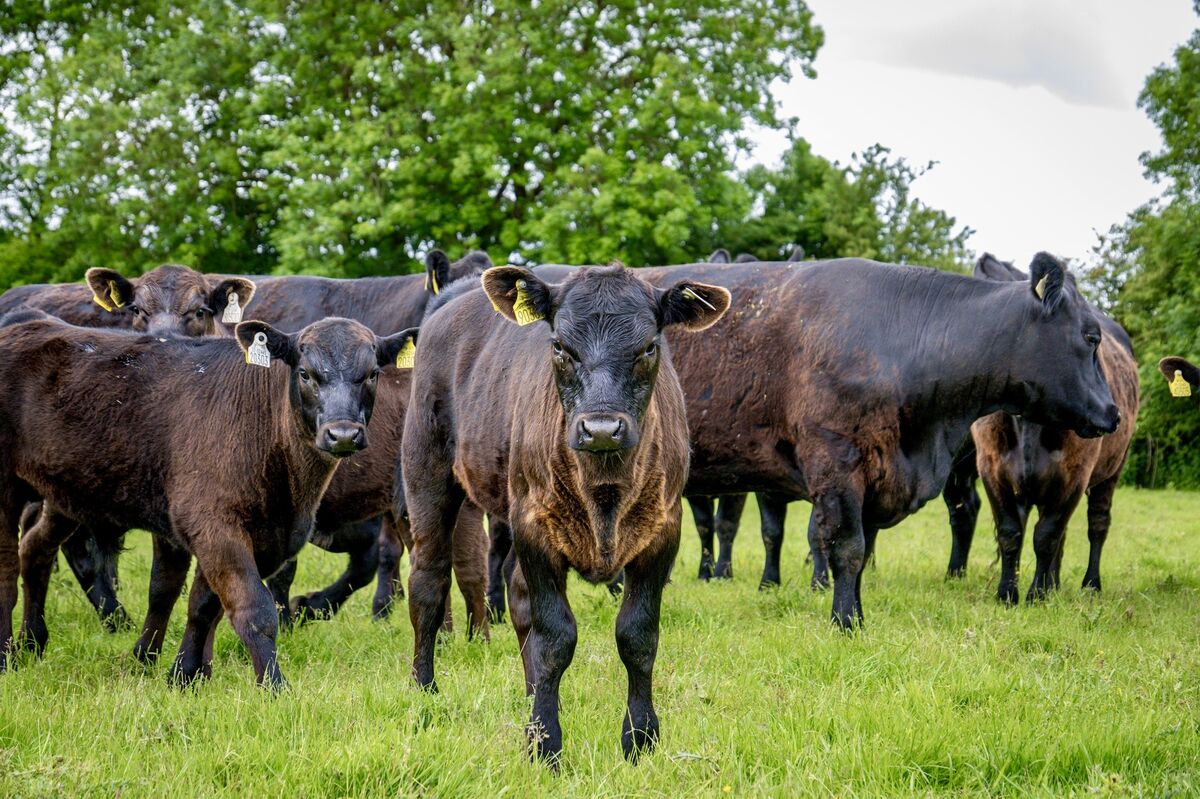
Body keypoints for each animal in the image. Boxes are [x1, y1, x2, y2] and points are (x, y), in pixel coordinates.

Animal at [0, 313, 415, 686]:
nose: (342, 434)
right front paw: (275, 688)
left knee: (35, 550)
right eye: (305, 373)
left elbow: (202, 603)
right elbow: (254, 609)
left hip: (64, 494)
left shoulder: (256, 534)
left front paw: (184, 675)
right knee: (7, 567)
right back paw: (7, 656)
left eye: (372, 374)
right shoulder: (214, 524)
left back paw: (32, 642)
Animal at [402, 264, 730, 763]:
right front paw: (544, 741)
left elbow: (638, 637)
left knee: (516, 597)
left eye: (649, 346)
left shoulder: (662, 533)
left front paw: (640, 737)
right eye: (559, 346)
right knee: (428, 584)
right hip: (428, 475)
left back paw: (529, 691)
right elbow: (555, 638)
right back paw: (424, 690)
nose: (602, 429)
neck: (604, 493)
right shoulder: (534, 528)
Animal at [929, 254, 1139, 602]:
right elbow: (1011, 533)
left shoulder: (1075, 475)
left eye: (1094, 339)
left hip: (1112, 469)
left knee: (1097, 523)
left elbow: (1047, 536)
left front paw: (1037, 595)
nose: (1112, 413)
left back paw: (1090, 584)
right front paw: (1007, 593)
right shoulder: (993, 469)